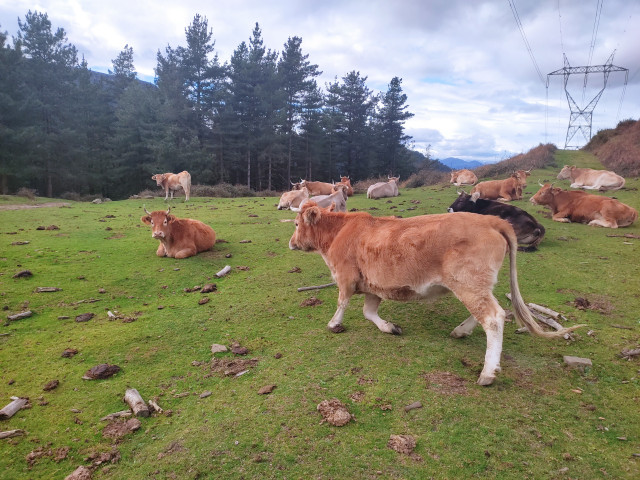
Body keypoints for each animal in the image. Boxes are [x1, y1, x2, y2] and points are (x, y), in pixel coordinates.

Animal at [288, 202, 583, 386]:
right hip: (478, 284)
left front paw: (333, 324)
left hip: (468, 283)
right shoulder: (374, 285)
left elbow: (342, 302)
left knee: (494, 317)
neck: (338, 233)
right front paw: (389, 327)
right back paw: (461, 331)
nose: (291, 243)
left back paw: (488, 372)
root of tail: (492, 220)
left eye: (296, 224)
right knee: (495, 310)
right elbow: (369, 312)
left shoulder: (346, 277)